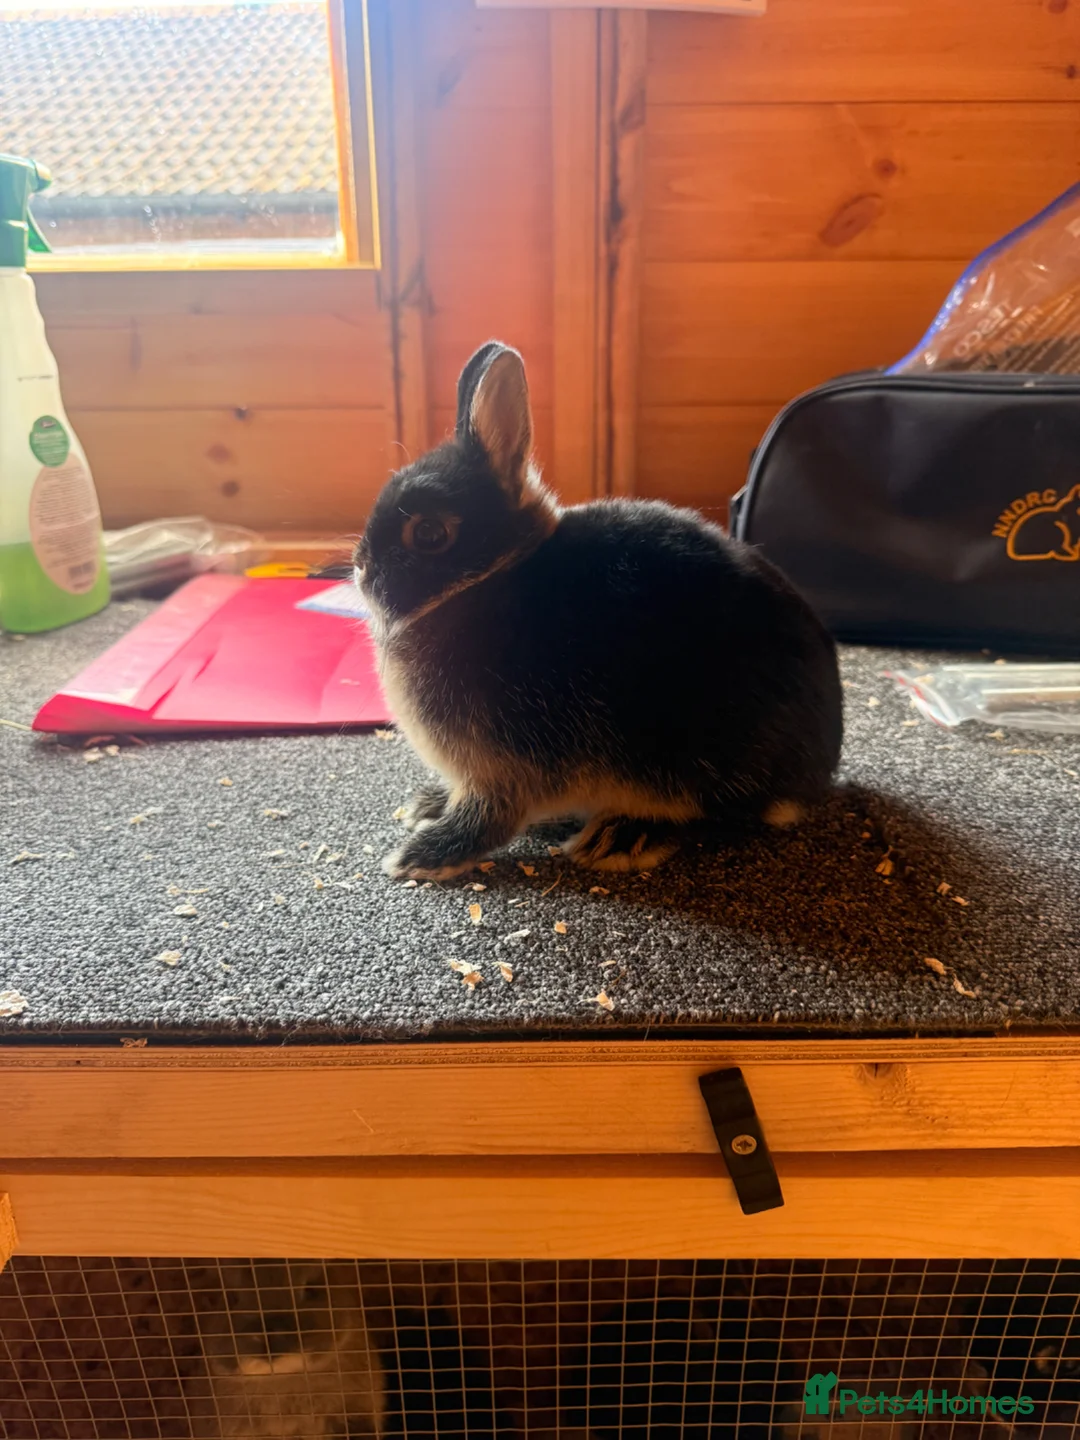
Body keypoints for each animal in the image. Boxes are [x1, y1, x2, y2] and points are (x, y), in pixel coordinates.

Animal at [354, 341, 843, 880]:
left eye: (429, 534)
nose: (360, 568)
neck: (482, 582)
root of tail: (818, 772)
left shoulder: (504, 769)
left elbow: (488, 817)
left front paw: (421, 857)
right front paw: (429, 805)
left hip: (696, 759)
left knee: (719, 815)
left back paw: (620, 837)